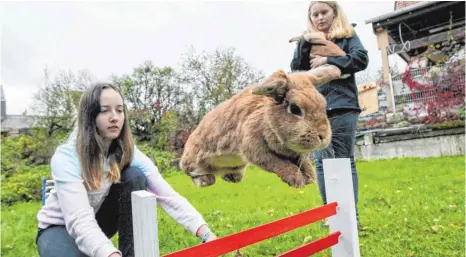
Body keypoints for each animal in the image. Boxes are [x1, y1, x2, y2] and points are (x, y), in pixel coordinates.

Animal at [180, 65, 340, 187]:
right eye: (295, 108)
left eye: (324, 105)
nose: (323, 136)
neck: (267, 121)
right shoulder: (254, 147)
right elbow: (279, 163)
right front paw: (297, 180)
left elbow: (303, 162)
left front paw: (309, 178)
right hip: (194, 160)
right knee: (190, 171)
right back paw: (206, 180)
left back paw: (233, 178)